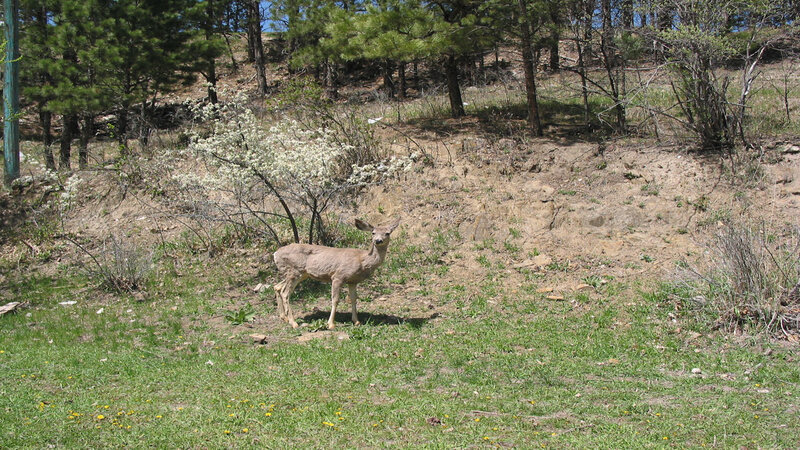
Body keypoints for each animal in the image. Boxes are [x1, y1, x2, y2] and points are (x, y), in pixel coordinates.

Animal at [272, 218, 400, 330]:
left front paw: (356, 321)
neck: (362, 260)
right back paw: (293, 323)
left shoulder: (353, 281)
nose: (378, 241)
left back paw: (284, 318)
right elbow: (335, 300)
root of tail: (275, 253)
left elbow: (353, 299)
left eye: (387, 233)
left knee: (277, 286)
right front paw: (331, 324)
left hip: (300, 274)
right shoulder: (338, 276)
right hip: (294, 271)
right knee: (285, 293)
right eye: (373, 233)